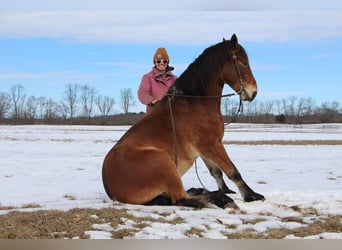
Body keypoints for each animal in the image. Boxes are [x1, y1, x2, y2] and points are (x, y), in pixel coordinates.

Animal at [103, 33, 266, 209]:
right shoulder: (211, 144)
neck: (195, 103)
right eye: (244, 62)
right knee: (181, 198)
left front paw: (227, 190)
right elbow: (233, 171)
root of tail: (111, 189)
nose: (253, 92)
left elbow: (217, 172)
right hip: (164, 162)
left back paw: (203, 191)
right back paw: (221, 199)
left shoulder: (204, 149)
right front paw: (251, 196)